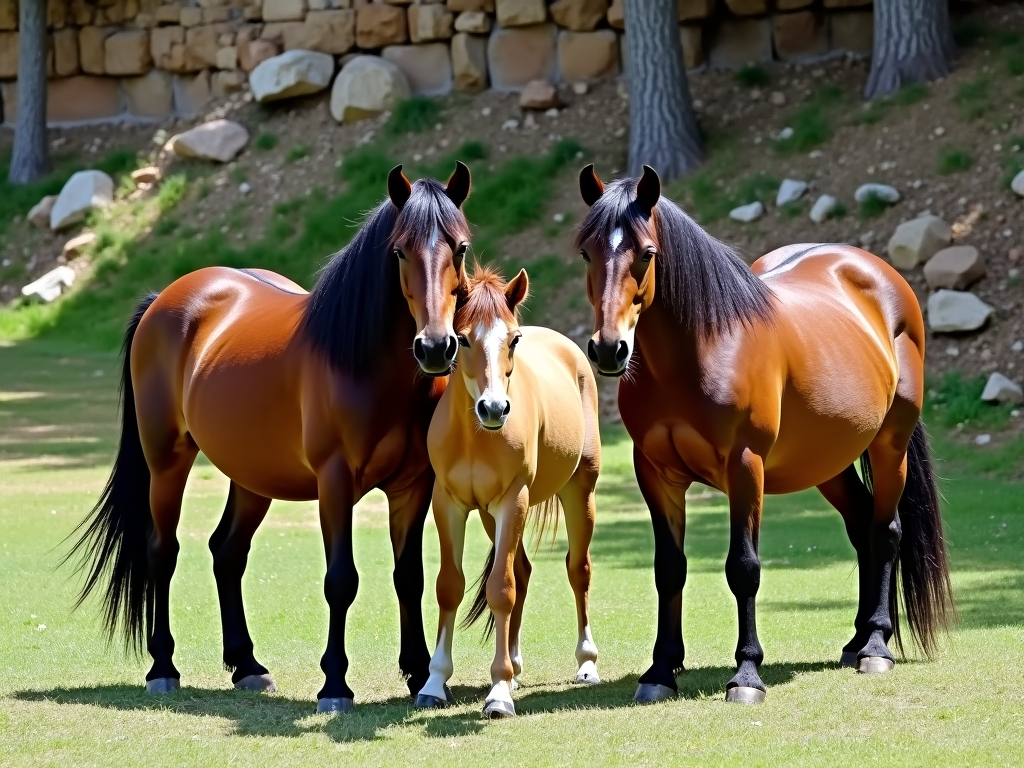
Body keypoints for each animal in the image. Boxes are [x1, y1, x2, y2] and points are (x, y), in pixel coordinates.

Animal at [67, 163, 477, 714]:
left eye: (460, 247)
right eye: (398, 252)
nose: (435, 347)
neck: (365, 365)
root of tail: (166, 299)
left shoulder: (412, 486)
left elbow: (407, 575)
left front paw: (418, 675)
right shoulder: (335, 483)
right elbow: (340, 580)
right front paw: (335, 685)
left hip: (252, 477)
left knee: (227, 552)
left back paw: (247, 665)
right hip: (167, 463)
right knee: (162, 552)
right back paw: (163, 667)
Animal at [414, 266, 602, 718]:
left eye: (513, 339)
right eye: (462, 338)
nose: (495, 409)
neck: (474, 437)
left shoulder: (512, 499)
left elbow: (501, 589)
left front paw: (498, 691)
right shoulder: (449, 503)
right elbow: (450, 585)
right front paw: (434, 682)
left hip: (579, 493)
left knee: (578, 571)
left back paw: (586, 663)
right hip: (488, 515)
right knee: (523, 570)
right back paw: (515, 664)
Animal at [573, 164, 954, 705]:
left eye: (646, 253)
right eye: (588, 252)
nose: (609, 350)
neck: (701, 349)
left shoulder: (744, 465)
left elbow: (744, 568)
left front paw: (747, 674)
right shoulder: (656, 473)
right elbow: (669, 568)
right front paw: (661, 670)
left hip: (890, 447)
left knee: (885, 533)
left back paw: (876, 646)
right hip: (827, 461)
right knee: (862, 526)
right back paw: (855, 641)